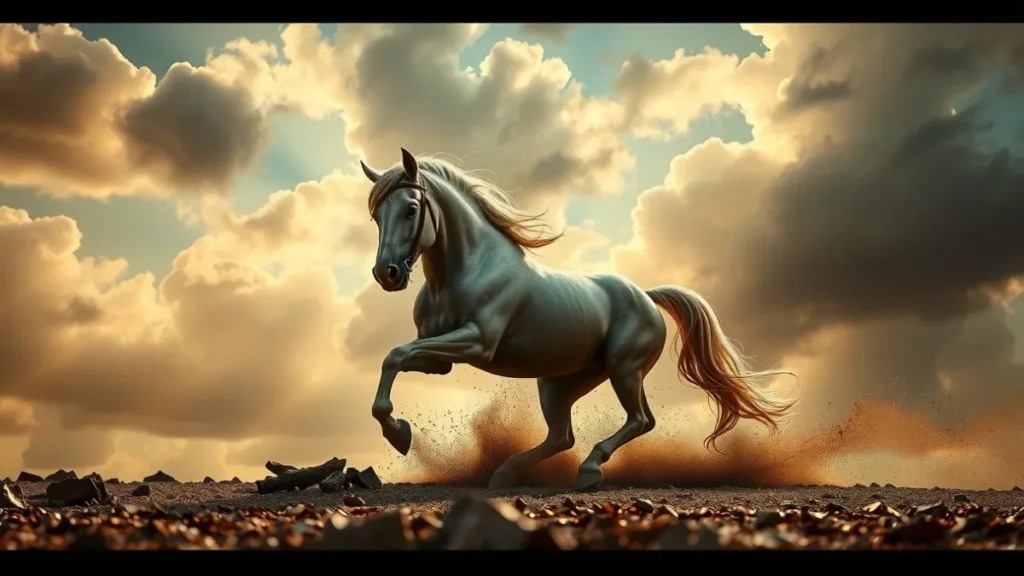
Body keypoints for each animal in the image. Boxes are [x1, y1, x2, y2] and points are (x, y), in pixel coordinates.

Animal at [361, 147, 796, 489]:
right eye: (377, 216)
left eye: (411, 209)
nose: (387, 274)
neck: (465, 269)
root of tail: (647, 297)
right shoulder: (440, 362)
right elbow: (395, 357)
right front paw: (399, 432)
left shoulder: (477, 342)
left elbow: (395, 354)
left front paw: (398, 435)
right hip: (562, 382)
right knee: (564, 436)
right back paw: (505, 475)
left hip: (623, 369)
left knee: (639, 420)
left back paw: (588, 471)